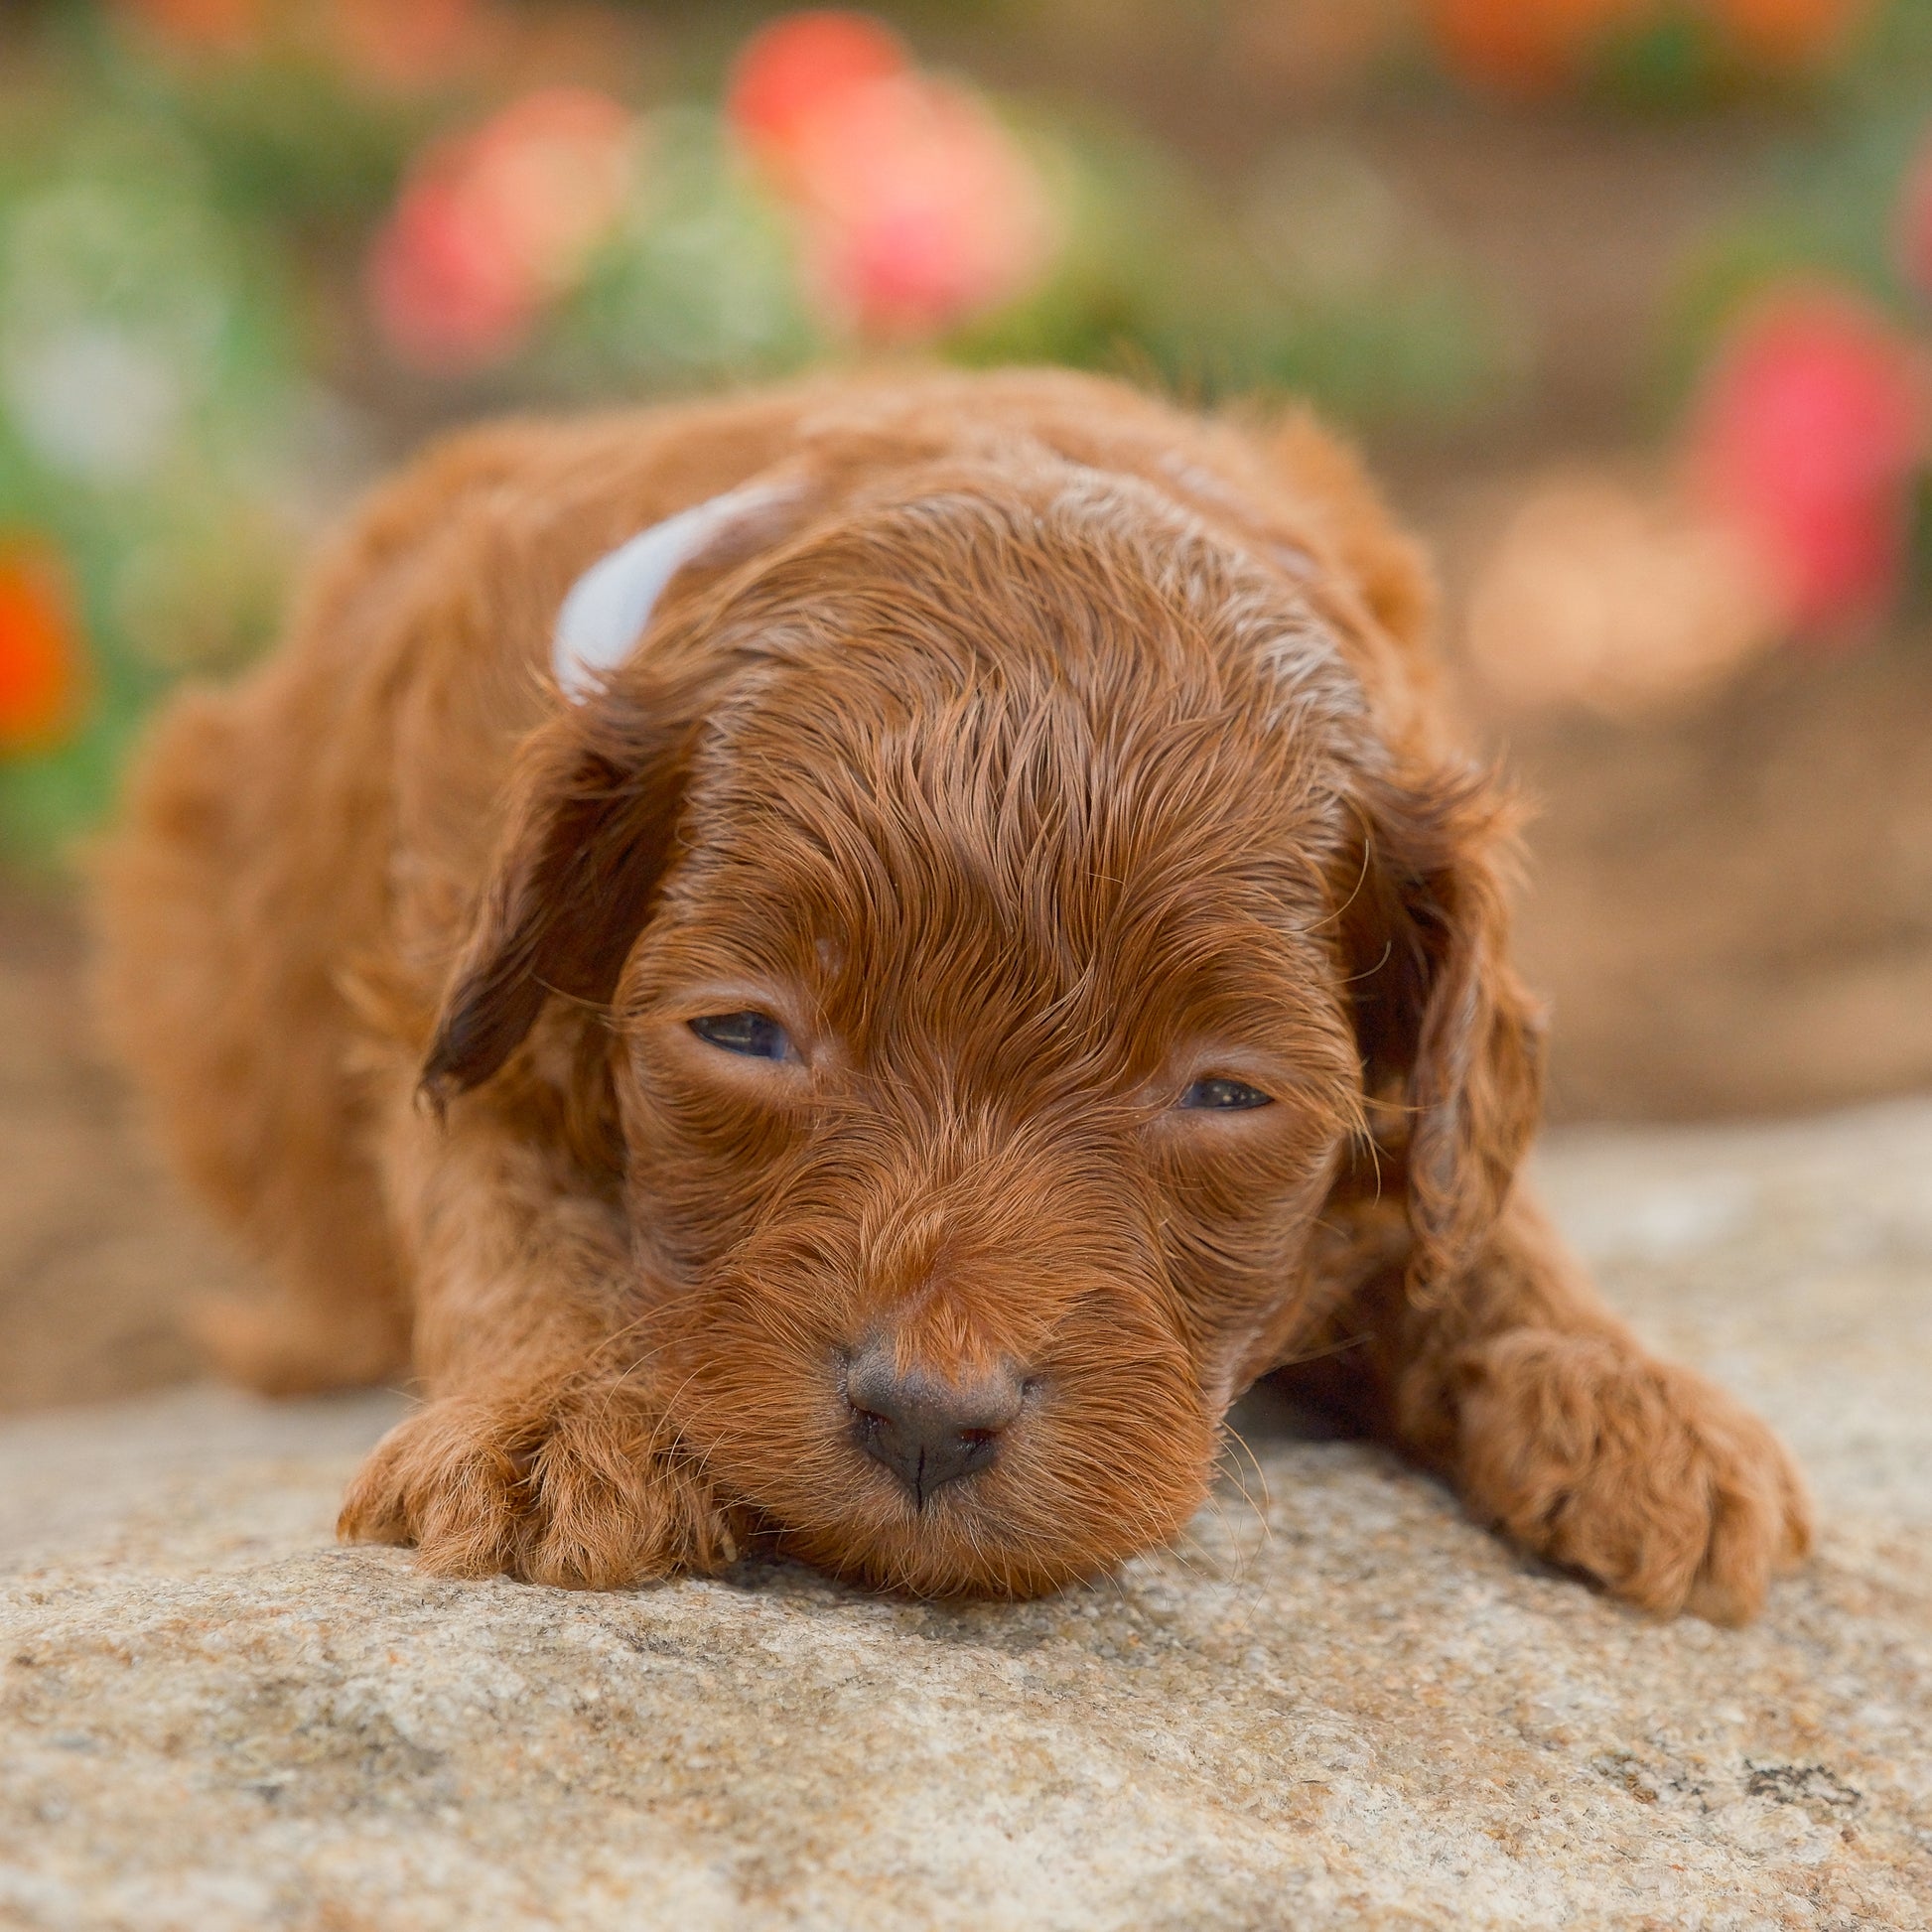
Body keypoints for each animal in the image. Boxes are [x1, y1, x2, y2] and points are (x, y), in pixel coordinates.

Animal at [93, 362, 1808, 1614]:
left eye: (1226, 1091)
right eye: (744, 1033)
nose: (924, 1416)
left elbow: (1471, 1207)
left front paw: (1617, 1385)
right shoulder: (447, 993)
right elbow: (505, 1213)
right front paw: (555, 1410)